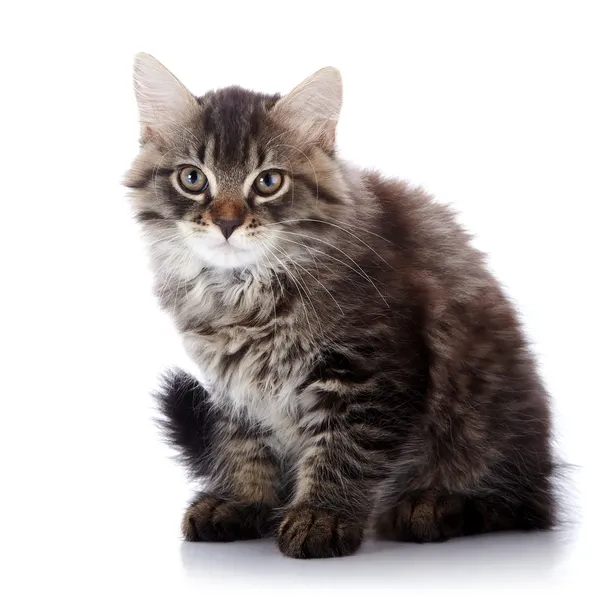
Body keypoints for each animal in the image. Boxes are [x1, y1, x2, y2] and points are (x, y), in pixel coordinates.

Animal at [125, 54, 556, 560]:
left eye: (268, 182)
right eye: (192, 178)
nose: (227, 223)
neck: (241, 293)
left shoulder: (370, 371)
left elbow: (344, 448)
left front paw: (321, 517)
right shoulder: (234, 385)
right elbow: (242, 443)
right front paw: (242, 501)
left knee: (513, 503)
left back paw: (433, 506)